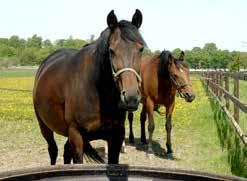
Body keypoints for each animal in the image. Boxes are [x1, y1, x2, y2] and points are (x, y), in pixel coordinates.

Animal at [33, 10, 146, 165]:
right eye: (111, 51)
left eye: (141, 49)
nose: (131, 98)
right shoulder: (76, 136)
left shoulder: (116, 136)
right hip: (44, 126)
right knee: (53, 150)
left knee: (66, 151)